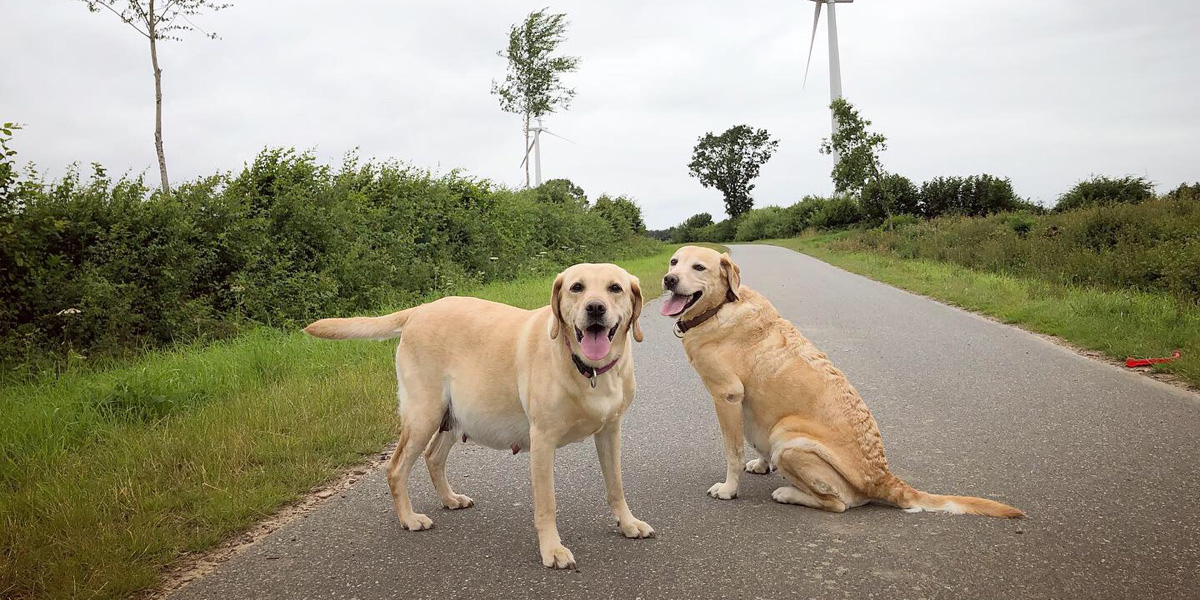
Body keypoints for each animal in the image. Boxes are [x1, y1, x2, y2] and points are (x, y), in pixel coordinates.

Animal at [667, 246, 1022, 518]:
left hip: (789, 440)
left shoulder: (726, 396)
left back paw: (788, 494)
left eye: (698, 267)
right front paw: (760, 465)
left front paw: (729, 489)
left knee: (839, 504)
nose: (669, 280)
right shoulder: (745, 406)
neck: (720, 307)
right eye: (673, 261)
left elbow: (733, 451)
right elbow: (750, 442)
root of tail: (885, 478)